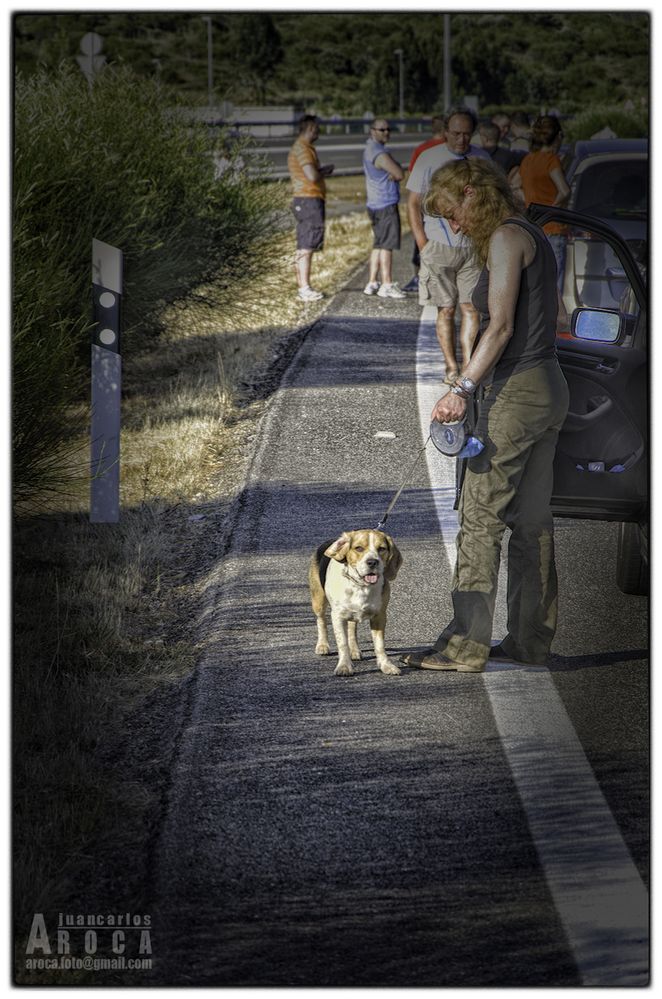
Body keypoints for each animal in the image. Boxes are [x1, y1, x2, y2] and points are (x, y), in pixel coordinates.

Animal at [308, 528, 402, 676]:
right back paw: (322, 645)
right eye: (358, 548)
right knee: (321, 621)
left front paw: (386, 665)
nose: (372, 562)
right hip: (318, 602)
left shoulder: (380, 616)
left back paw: (354, 650)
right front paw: (344, 666)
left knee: (352, 628)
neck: (361, 586)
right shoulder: (338, 616)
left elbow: (380, 645)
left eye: (381, 549)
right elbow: (342, 643)